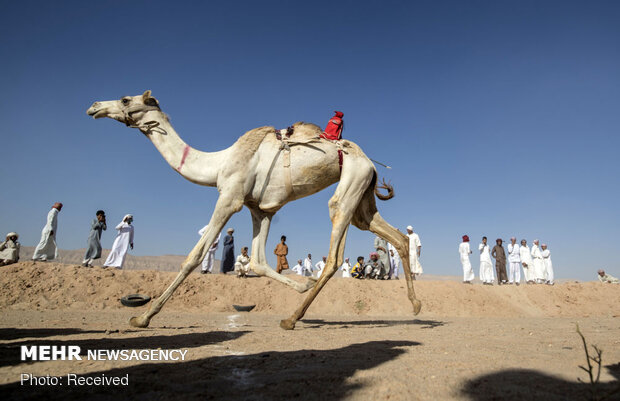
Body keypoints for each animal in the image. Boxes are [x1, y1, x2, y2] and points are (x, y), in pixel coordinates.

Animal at [86, 90, 422, 328]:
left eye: (125, 99)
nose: (94, 106)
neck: (218, 164)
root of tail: (369, 162)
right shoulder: (260, 209)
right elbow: (259, 262)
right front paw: (303, 284)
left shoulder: (229, 198)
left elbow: (195, 255)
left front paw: (144, 317)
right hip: (363, 193)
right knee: (394, 235)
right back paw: (416, 306)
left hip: (349, 185)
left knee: (335, 256)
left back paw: (291, 319)